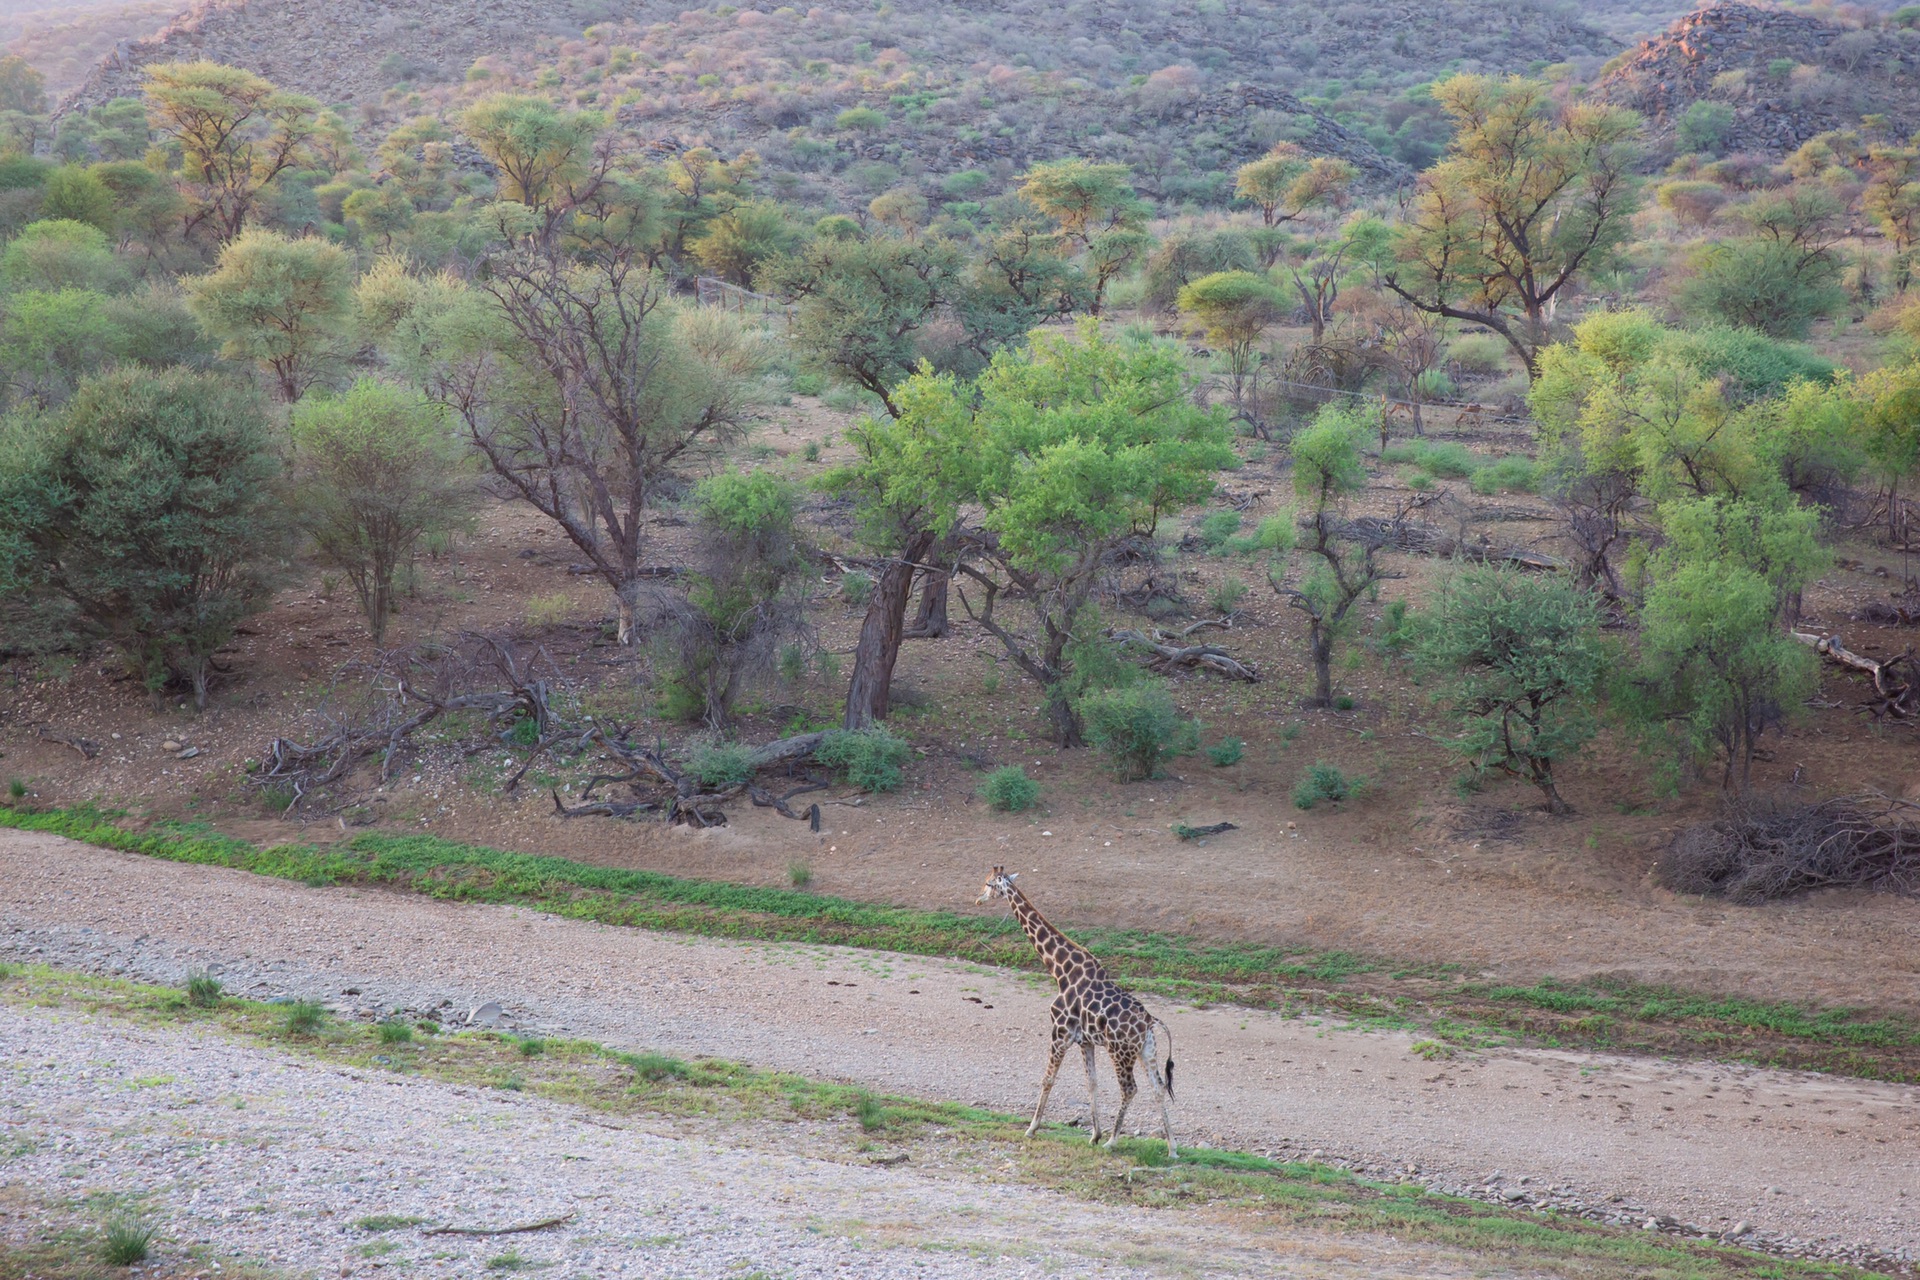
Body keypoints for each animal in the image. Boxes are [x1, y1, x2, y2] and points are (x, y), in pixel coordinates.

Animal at [983, 867, 1175, 1159]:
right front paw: (1094, 1135)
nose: (978, 899)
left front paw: (1031, 1129)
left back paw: (1113, 1142)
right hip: (1146, 1050)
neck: (1059, 970)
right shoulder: (1085, 1041)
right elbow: (1091, 1083)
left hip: (1120, 1052)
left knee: (1130, 1089)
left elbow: (1048, 1079)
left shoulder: (1060, 1032)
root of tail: (1150, 1021)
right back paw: (1172, 1148)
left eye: (987, 884)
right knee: (1158, 1088)